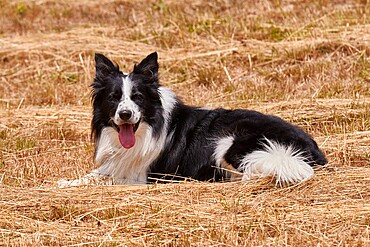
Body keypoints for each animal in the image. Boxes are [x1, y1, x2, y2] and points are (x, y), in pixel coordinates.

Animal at [57, 52, 326, 187]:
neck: (148, 129)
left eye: (137, 97)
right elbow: (93, 175)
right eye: (114, 98)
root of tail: (313, 150)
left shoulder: (143, 176)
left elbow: (106, 180)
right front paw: (65, 183)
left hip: (229, 143)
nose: (125, 114)